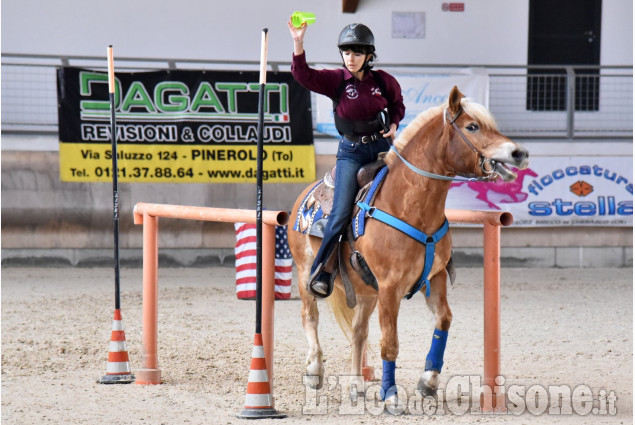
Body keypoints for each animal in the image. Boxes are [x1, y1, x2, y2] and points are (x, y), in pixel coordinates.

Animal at [288, 86, 532, 408]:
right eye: (472, 127)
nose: (519, 153)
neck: (408, 205)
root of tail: (305, 194)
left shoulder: (434, 278)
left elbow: (443, 321)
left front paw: (428, 381)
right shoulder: (390, 287)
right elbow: (390, 344)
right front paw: (391, 396)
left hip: (367, 293)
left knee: (358, 332)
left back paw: (355, 384)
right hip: (307, 274)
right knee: (310, 316)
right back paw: (315, 370)